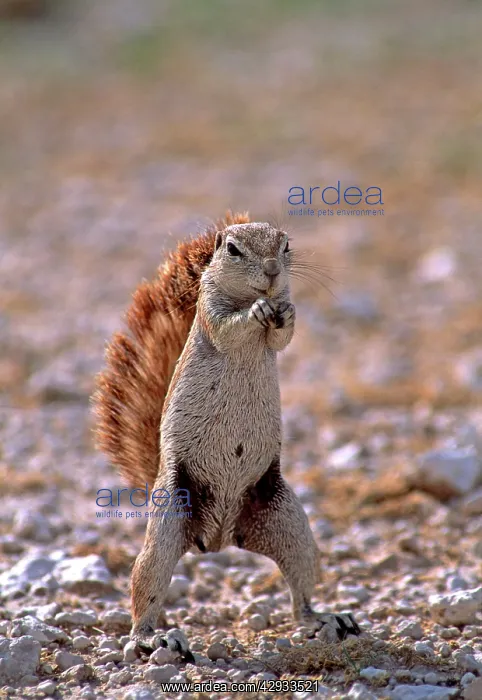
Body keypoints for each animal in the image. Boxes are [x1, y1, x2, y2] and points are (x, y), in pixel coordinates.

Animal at [93, 211, 360, 655]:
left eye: (286, 245)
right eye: (232, 249)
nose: (271, 271)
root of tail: (218, 537)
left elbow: (284, 336)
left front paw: (286, 312)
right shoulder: (211, 313)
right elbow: (229, 327)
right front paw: (256, 310)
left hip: (290, 526)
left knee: (300, 595)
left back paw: (325, 618)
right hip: (168, 522)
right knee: (145, 587)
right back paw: (152, 637)